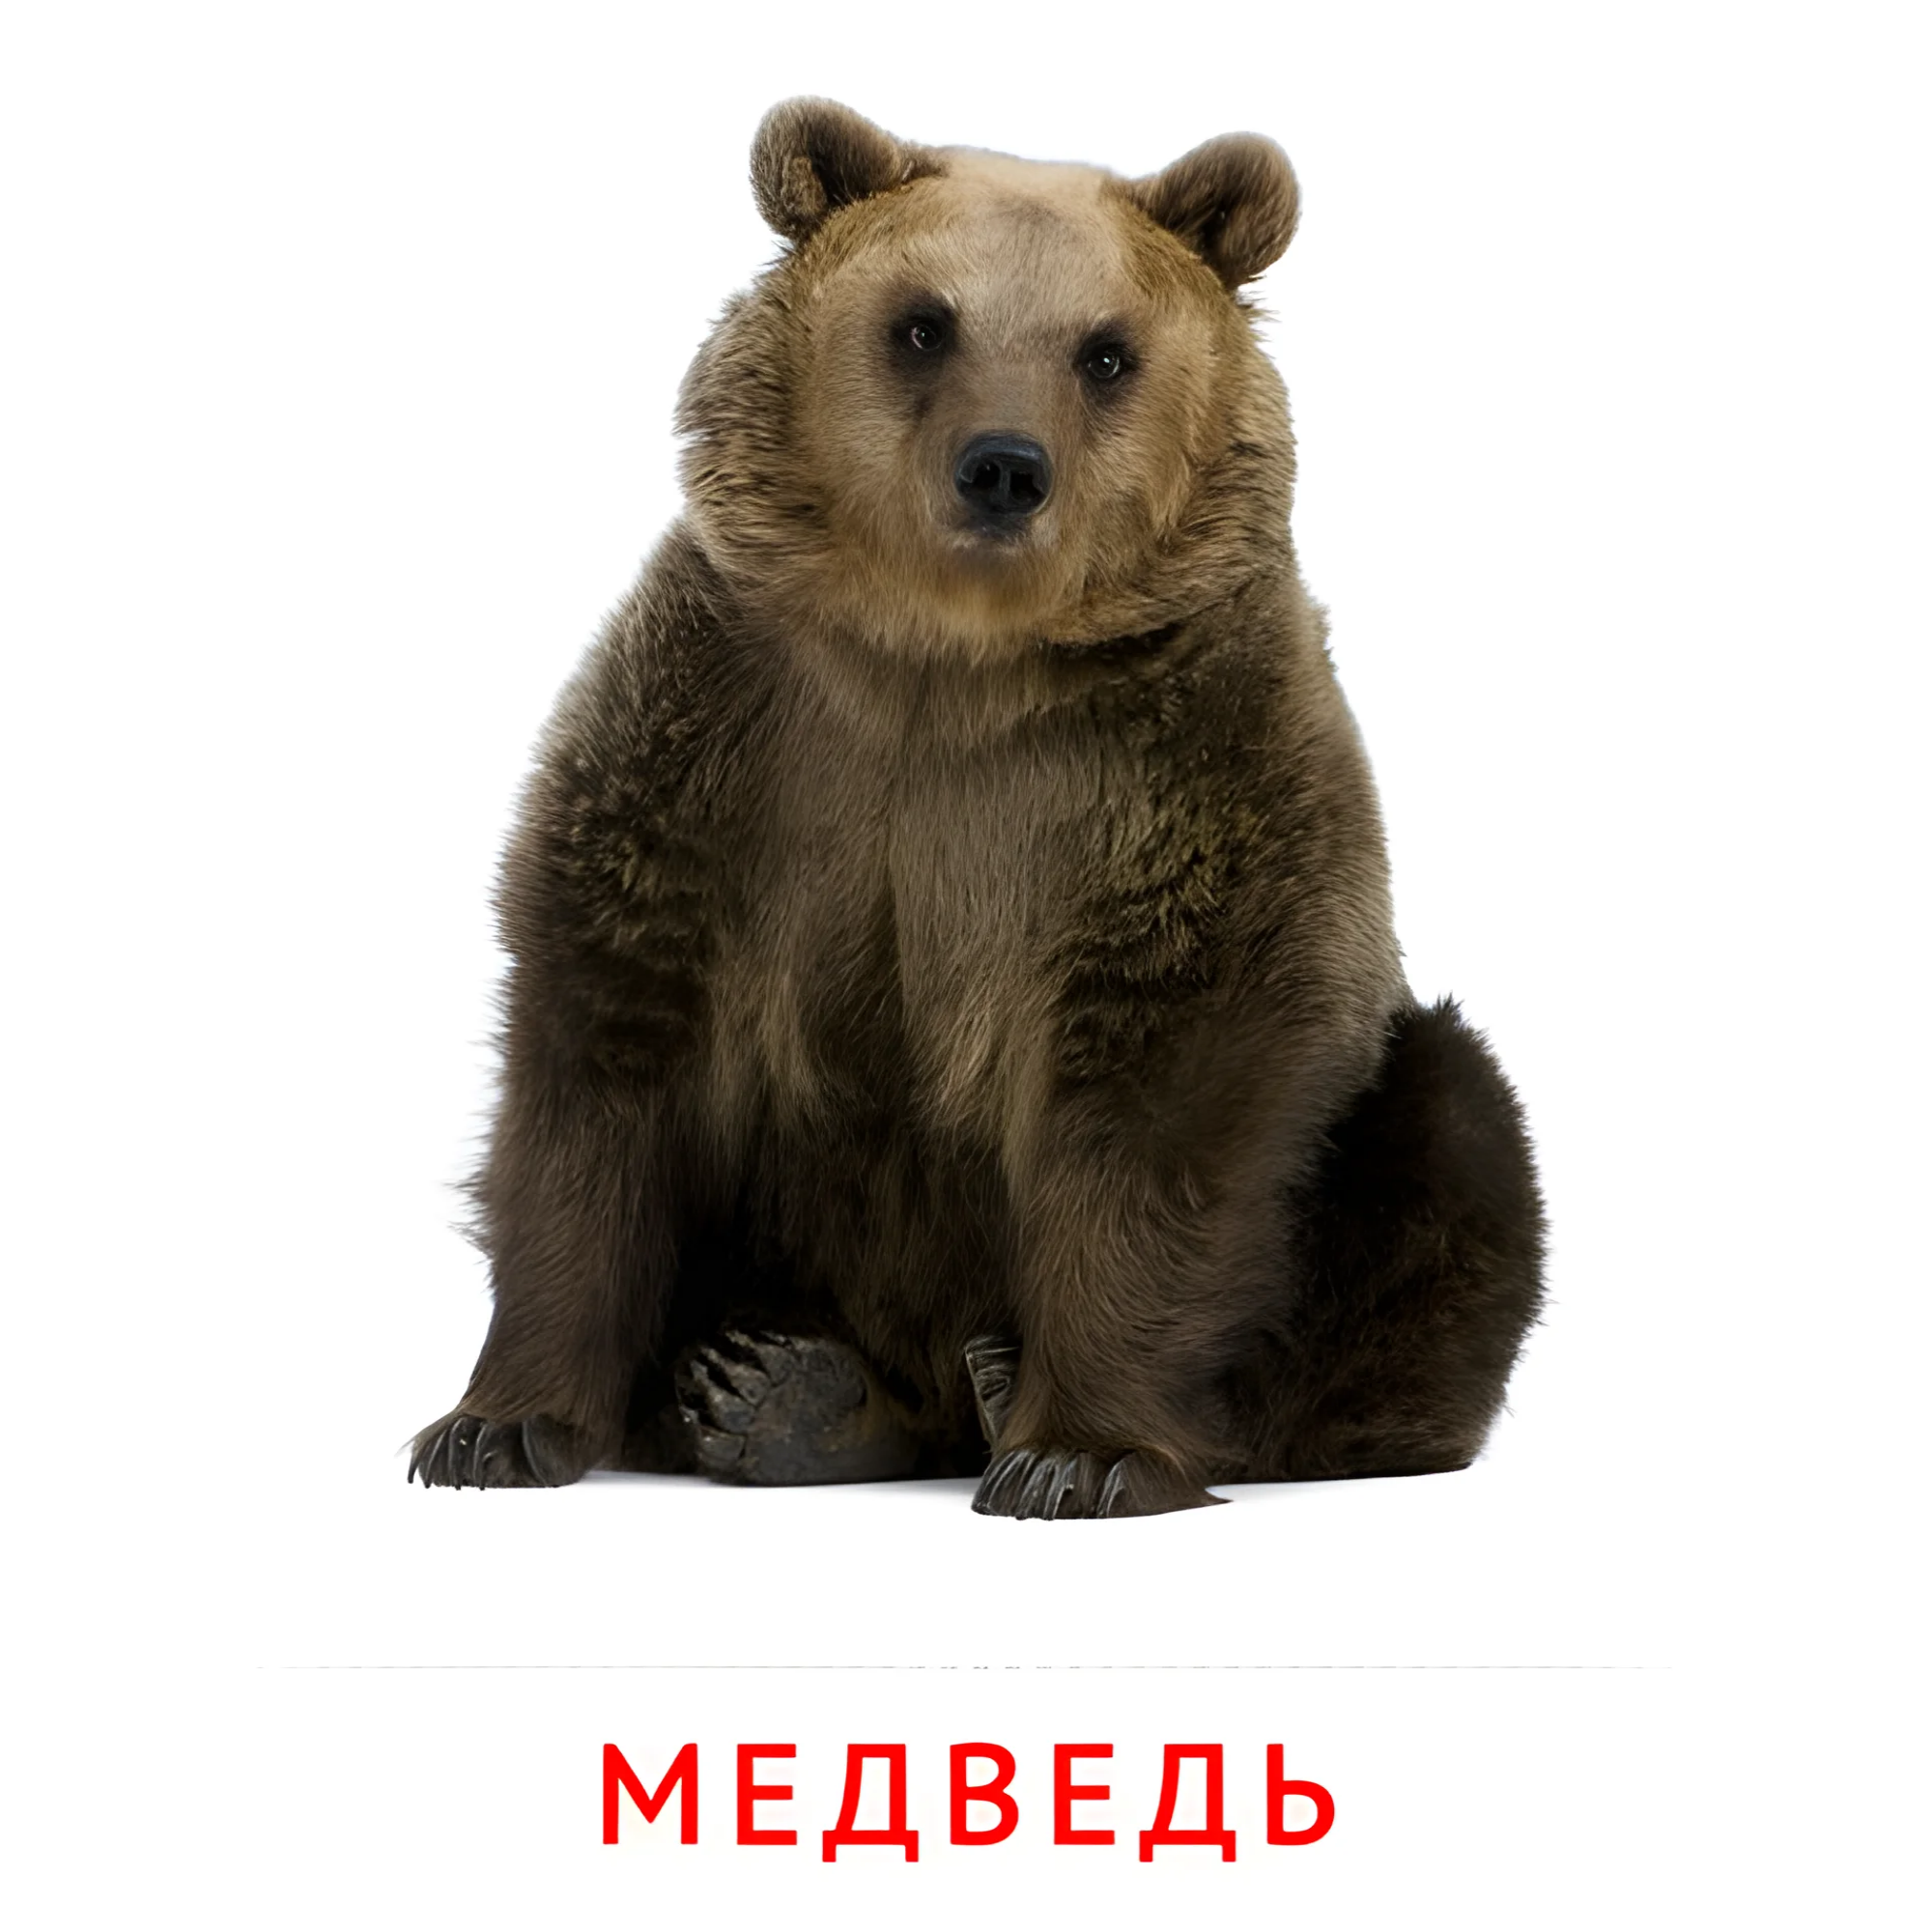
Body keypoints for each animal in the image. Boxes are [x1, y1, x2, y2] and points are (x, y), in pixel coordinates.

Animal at [409, 98, 1546, 1518]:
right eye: (922, 323)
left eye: (1106, 350)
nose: (1004, 467)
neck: (948, 657)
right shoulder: (725, 738)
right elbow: (603, 1052)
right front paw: (496, 1427)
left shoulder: (1183, 771)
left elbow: (1167, 1083)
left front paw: (1081, 1449)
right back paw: (781, 1389)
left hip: (1380, 1129)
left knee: (1450, 1138)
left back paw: (1003, 1387)